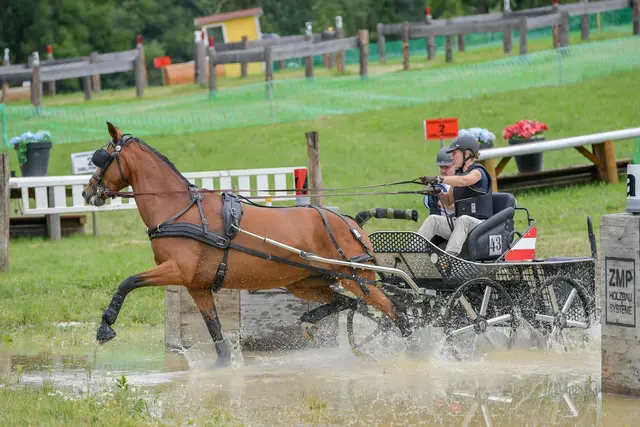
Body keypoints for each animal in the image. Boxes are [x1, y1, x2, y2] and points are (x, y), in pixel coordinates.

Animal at [82, 122, 413, 366]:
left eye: (101, 157)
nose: (87, 191)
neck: (179, 209)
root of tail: (350, 222)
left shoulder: (176, 270)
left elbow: (128, 281)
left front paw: (105, 326)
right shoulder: (196, 285)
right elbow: (215, 330)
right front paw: (222, 366)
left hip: (358, 279)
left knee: (396, 312)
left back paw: (414, 352)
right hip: (306, 282)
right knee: (346, 302)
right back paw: (309, 321)